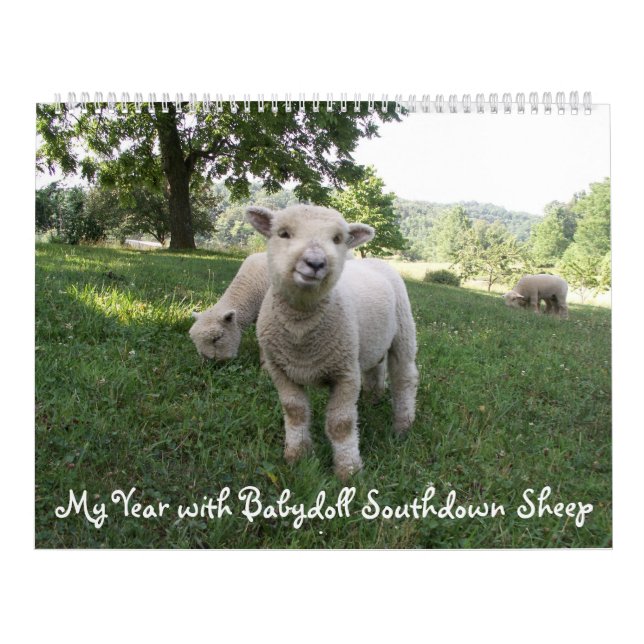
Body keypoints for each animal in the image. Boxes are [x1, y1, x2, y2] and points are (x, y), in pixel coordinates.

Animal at [247, 204, 419, 480]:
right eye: (283, 233)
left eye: (337, 239)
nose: (316, 263)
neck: (300, 332)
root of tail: (372, 260)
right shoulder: (280, 370)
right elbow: (295, 412)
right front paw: (297, 456)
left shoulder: (345, 373)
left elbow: (341, 424)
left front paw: (348, 470)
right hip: (368, 341)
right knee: (375, 368)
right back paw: (372, 399)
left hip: (403, 331)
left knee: (405, 378)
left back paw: (402, 426)